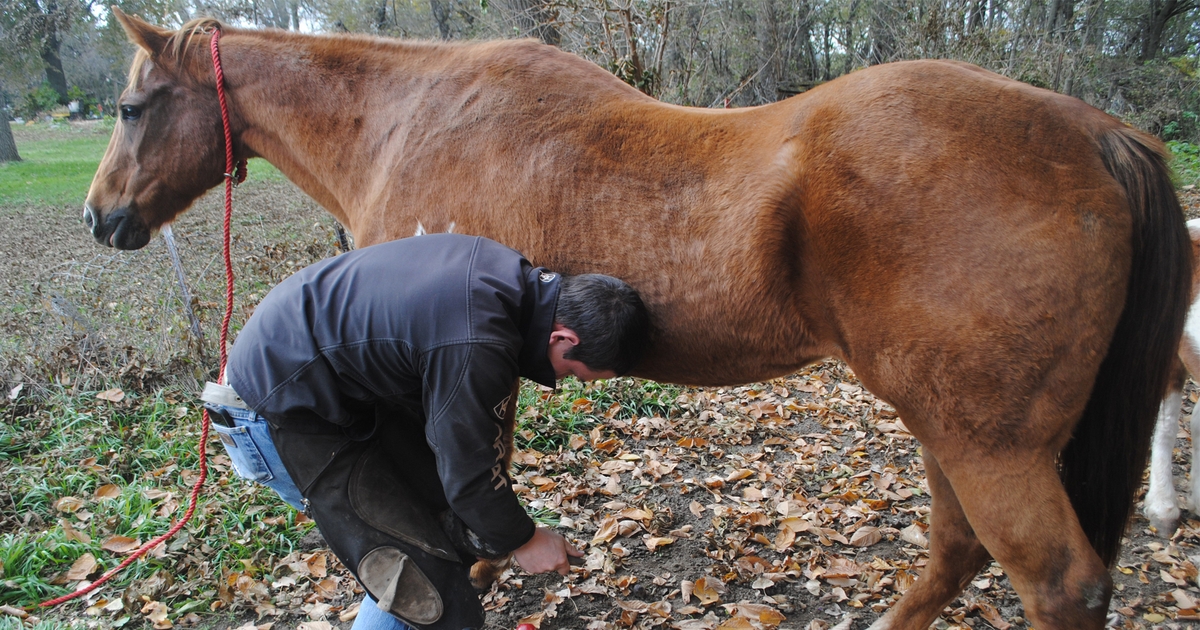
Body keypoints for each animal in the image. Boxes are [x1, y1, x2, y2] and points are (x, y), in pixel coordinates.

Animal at [82, 9, 1190, 628]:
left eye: (133, 108)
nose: (100, 217)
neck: (411, 119)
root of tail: (1098, 133)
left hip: (986, 441)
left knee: (1058, 584)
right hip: (952, 427)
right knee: (958, 552)